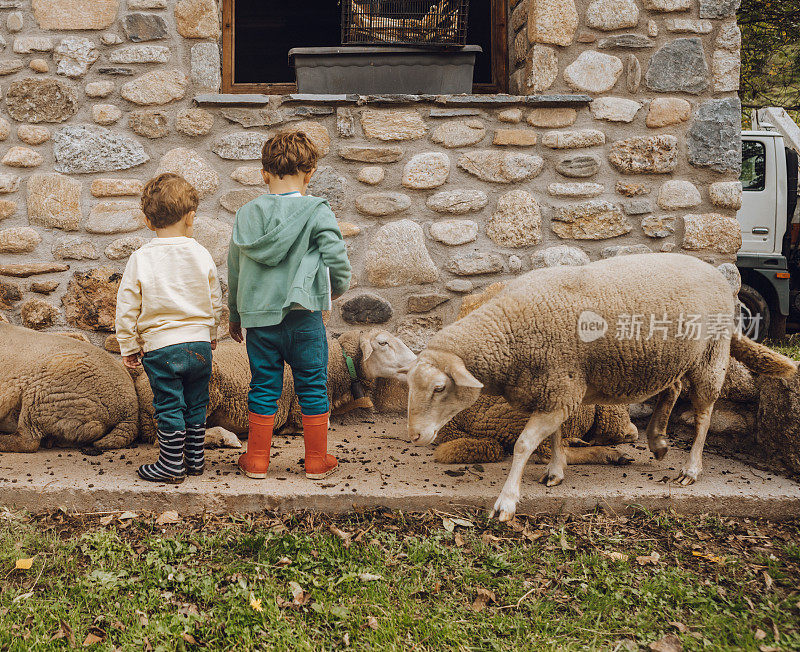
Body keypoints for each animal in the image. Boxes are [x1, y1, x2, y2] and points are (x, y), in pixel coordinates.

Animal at [410, 252, 796, 524]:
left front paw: (506, 502)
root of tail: (720, 278)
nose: (413, 435)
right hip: (668, 356)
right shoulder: (558, 390)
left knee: (703, 413)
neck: (508, 332)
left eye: (440, 388)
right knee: (671, 389)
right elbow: (555, 437)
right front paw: (555, 472)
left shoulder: (560, 389)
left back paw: (690, 469)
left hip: (710, 354)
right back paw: (657, 441)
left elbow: (523, 444)